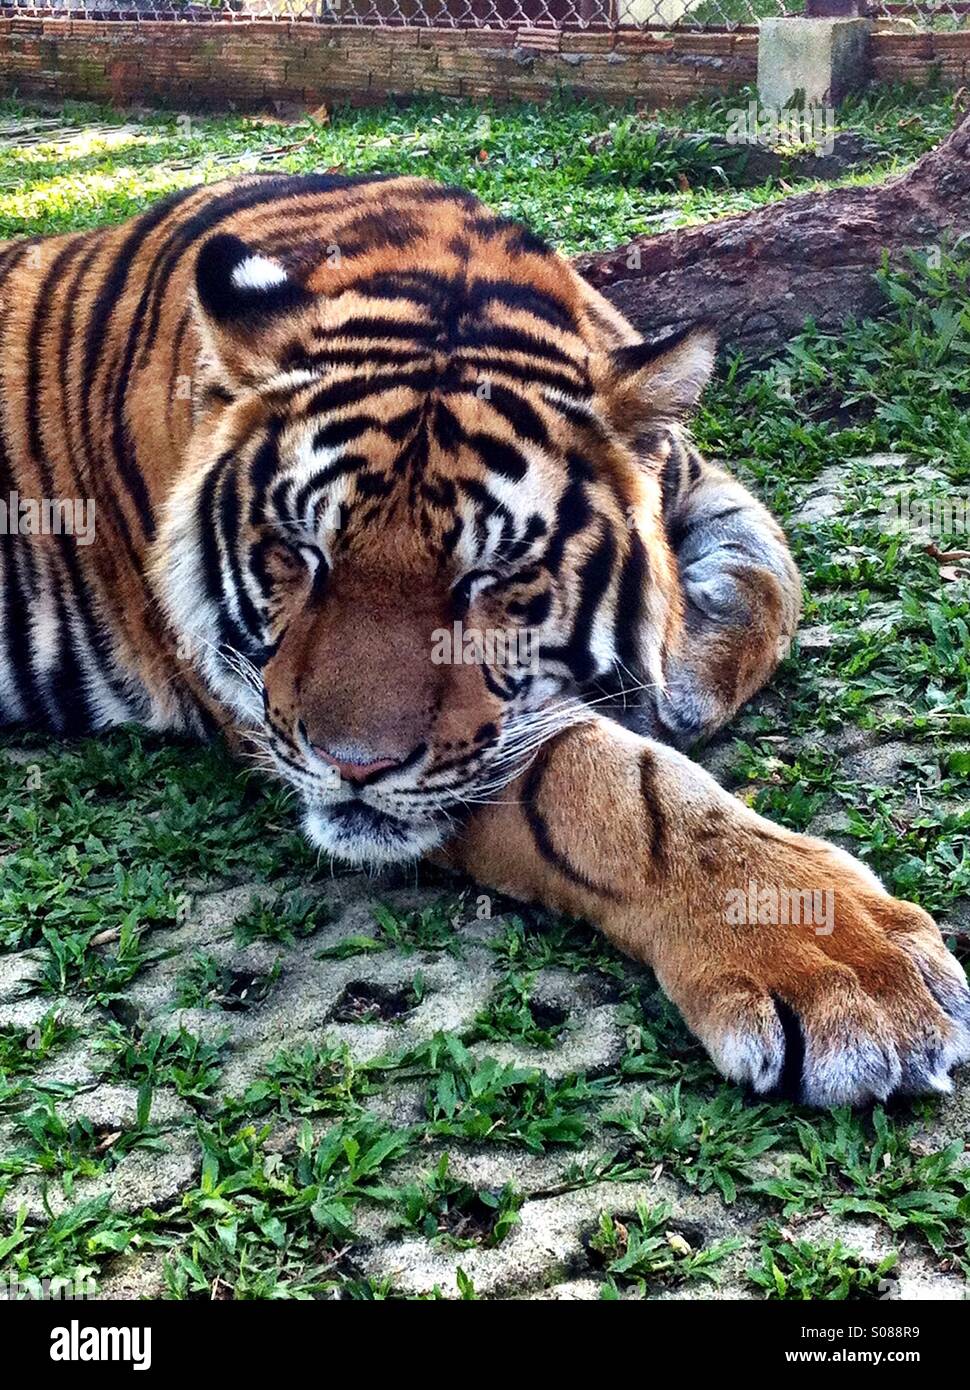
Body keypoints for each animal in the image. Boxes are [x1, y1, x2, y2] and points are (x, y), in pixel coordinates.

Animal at [1, 173, 967, 1106]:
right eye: (302, 553)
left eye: (490, 578)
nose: (350, 767)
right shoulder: (261, 700)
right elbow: (613, 791)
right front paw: (846, 964)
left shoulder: (696, 476)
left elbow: (769, 574)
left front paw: (677, 678)